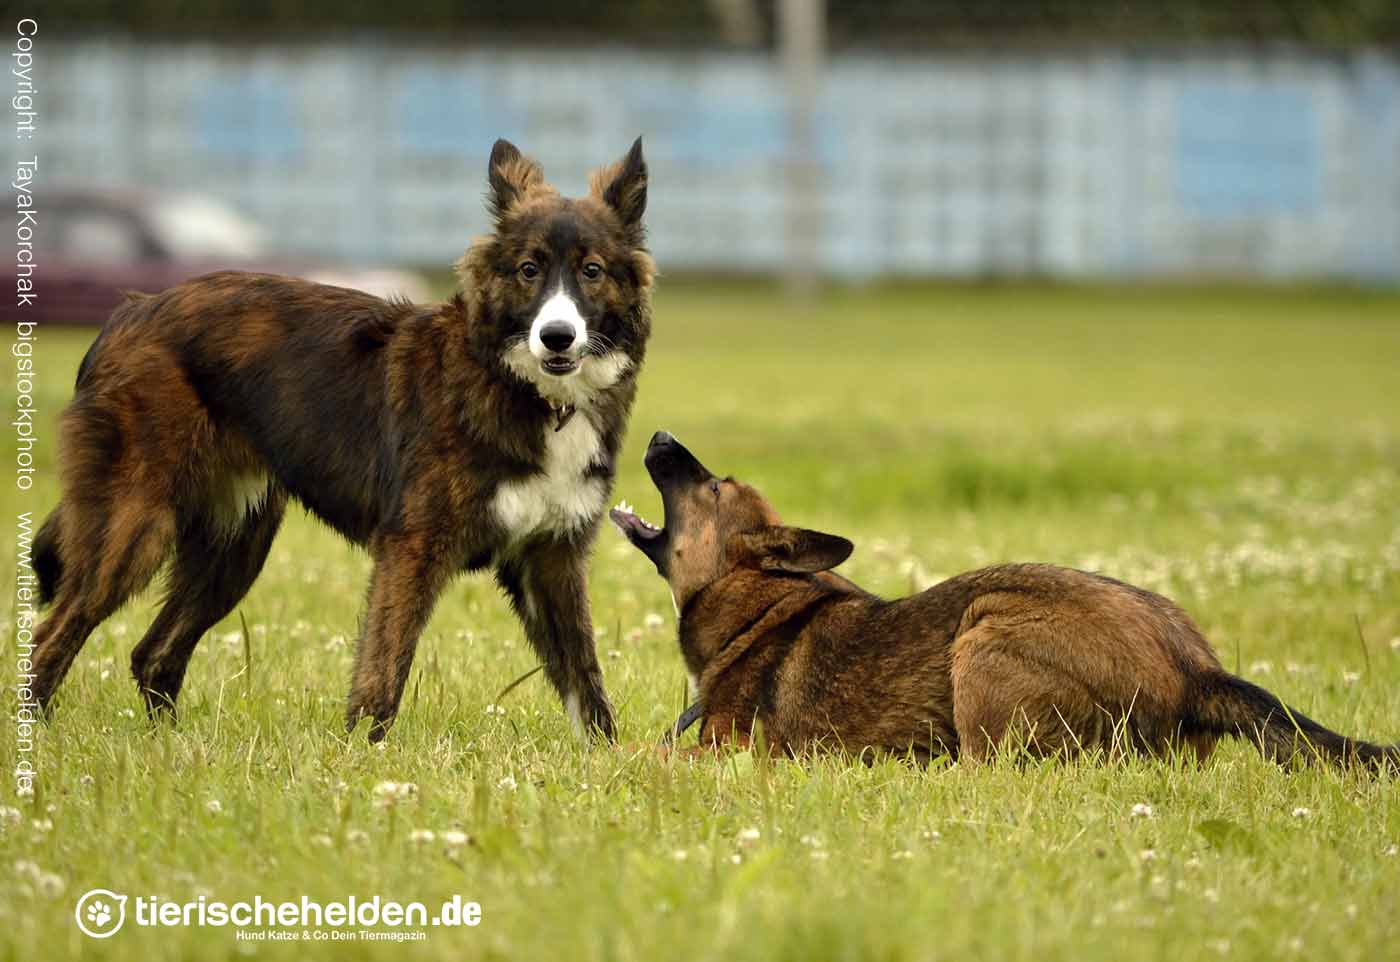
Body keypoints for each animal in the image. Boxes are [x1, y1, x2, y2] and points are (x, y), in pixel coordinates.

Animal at [27, 135, 649, 739]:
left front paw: (606, 757)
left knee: (152, 654)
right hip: (133, 527)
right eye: (528, 269)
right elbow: (384, 668)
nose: (557, 337)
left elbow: (585, 681)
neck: (532, 393)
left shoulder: (551, 559)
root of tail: (127, 315)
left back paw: (171, 745)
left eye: (592, 271)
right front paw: (363, 754)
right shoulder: (412, 547)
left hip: (234, 546)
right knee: (49, 638)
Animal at [616, 434, 1400, 772]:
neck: (761, 602)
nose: (656, 435)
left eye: (713, 485)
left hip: (984, 630)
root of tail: (1193, 669)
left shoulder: (727, 746)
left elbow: (644, 752)